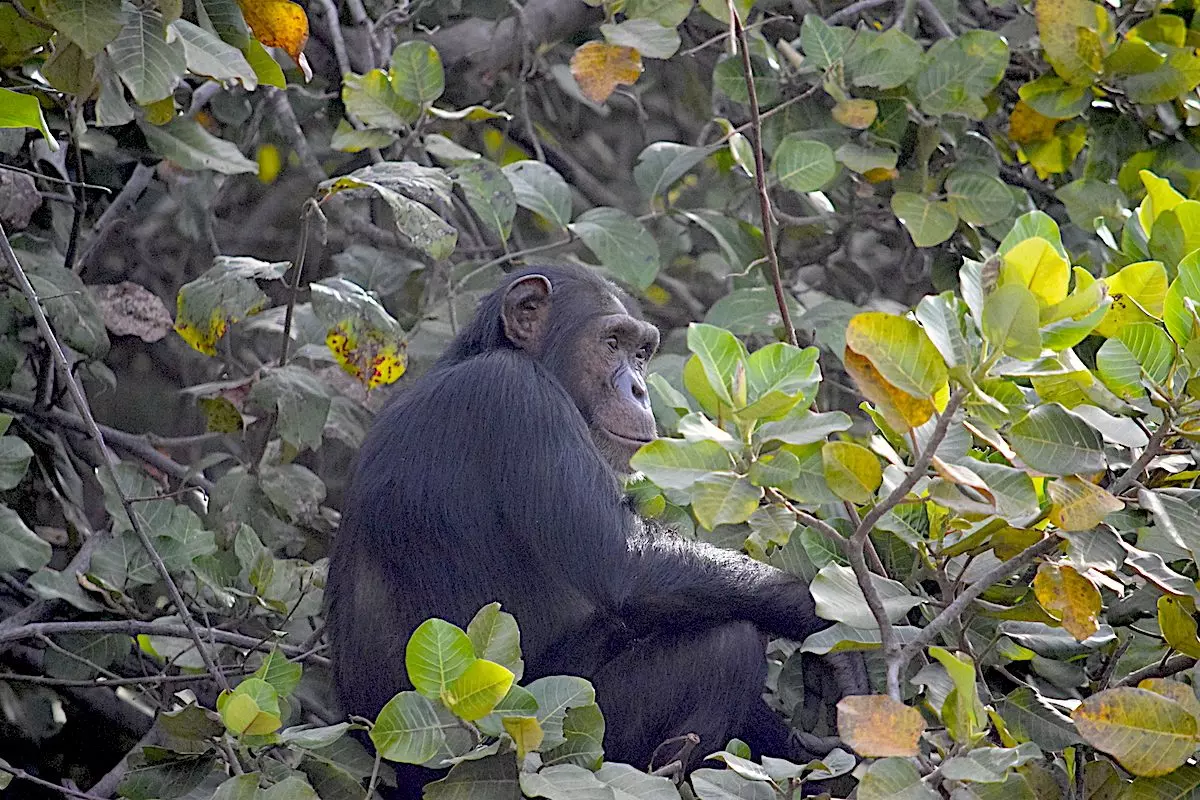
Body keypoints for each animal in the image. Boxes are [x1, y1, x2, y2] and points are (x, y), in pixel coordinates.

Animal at [326, 266, 864, 791]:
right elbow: (625, 564)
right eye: (611, 343)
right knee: (725, 647)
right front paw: (824, 622)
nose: (639, 389)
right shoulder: (517, 397)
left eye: (641, 353)